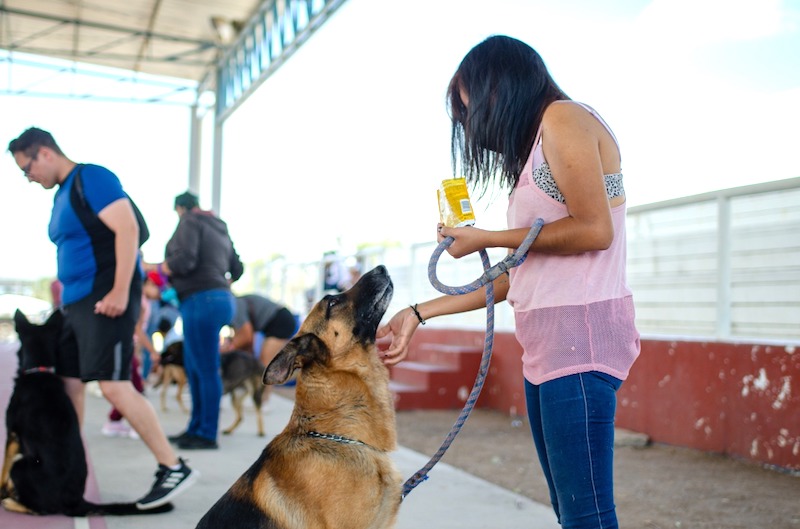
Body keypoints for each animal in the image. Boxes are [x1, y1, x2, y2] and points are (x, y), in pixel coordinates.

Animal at [0, 310, 173, 516]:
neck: (39, 370)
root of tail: (76, 502)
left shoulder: (12, 433)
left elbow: (3, 466)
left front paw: (1, 490)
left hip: (21, 466)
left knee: (38, 509)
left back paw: (10, 500)